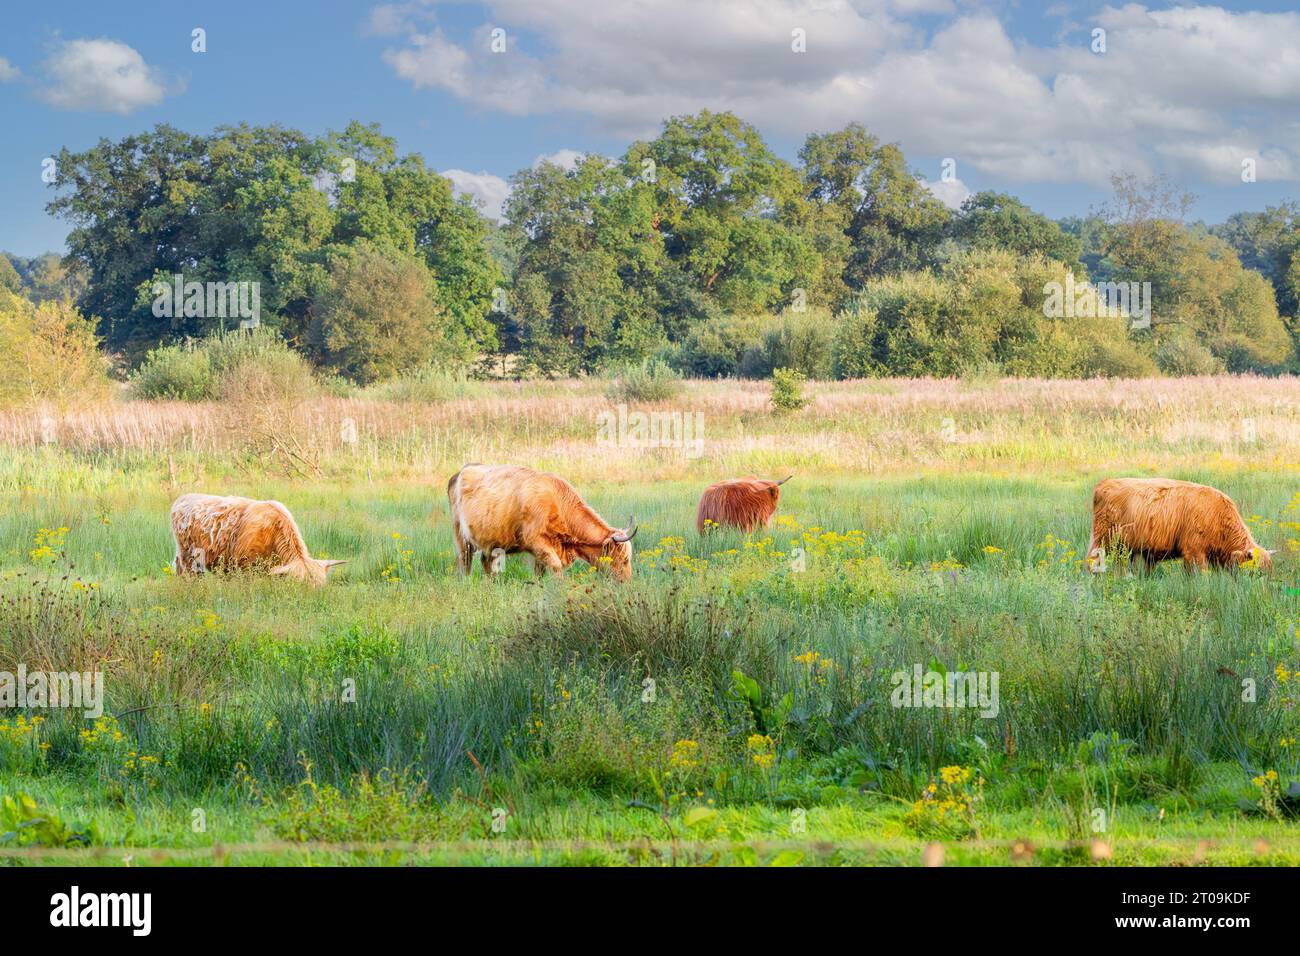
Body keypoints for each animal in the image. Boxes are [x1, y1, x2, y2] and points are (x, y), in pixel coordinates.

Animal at [447, 463, 639, 580]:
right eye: (623, 560)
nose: (627, 583)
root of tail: (462, 470)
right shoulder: (536, 542)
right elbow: (555, 566)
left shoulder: (541, 550)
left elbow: (540, 572)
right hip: (461, 537)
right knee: (464, 562)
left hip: (490, 541)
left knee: (486, 562)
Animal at [1086, 476, 1268, 572]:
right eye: (1255, 572)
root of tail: (1105, 483)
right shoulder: (1194, 550)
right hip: (1103, 540)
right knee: (1093, 560)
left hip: (1125, 547)